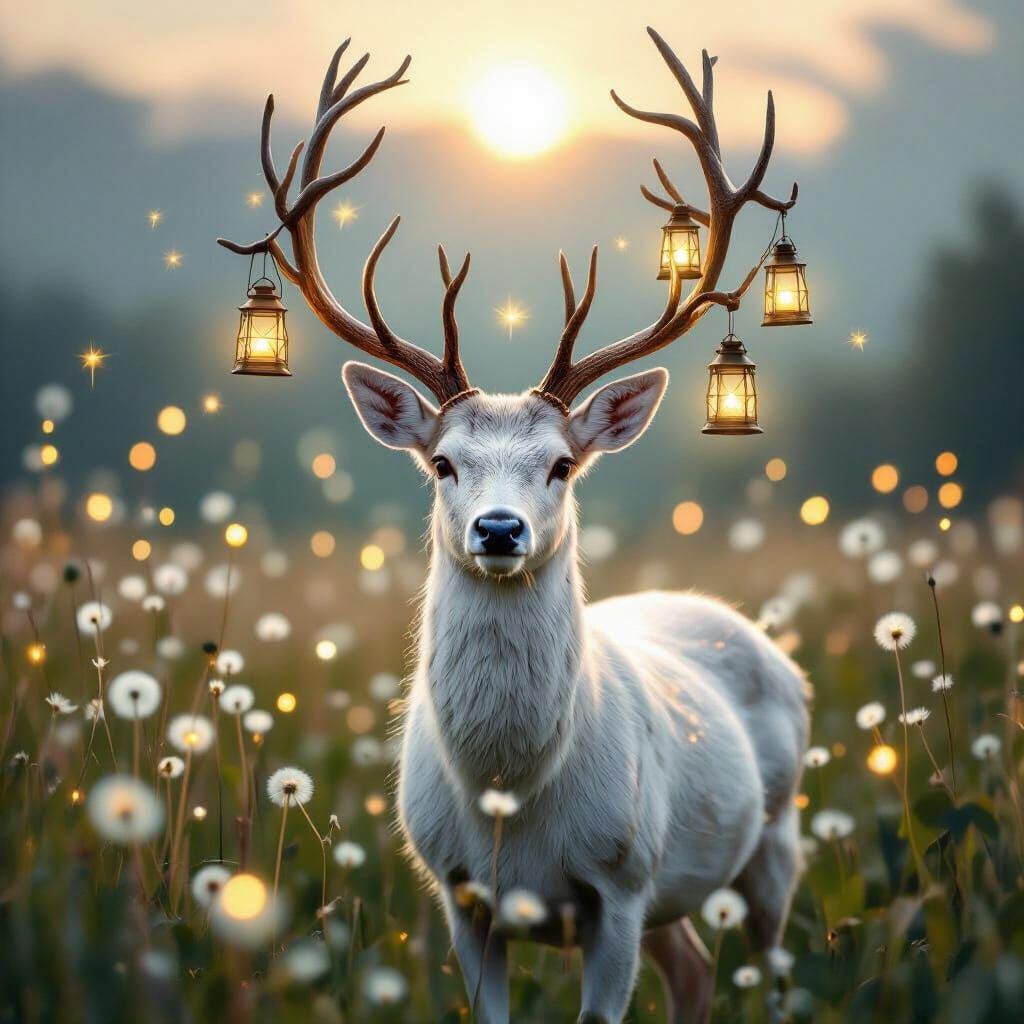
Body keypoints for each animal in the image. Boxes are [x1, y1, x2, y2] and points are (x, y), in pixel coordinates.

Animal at [219, 28, 810, 1024]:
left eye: (562, 464)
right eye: (443, 463)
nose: (499, 531)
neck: (512, 797)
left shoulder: (619, 885)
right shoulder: (459, 893)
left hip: (774, 840)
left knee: (768, 972)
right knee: (695, 969)